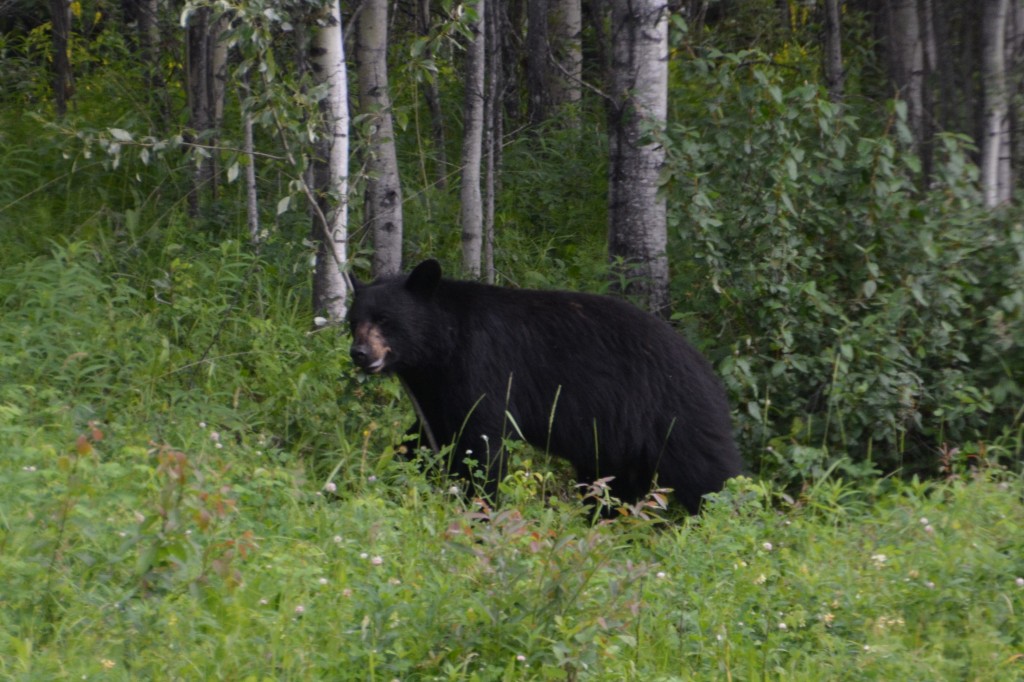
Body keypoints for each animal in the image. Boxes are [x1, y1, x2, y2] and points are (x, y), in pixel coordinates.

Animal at [348, 259, 741, 509]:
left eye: (385, 319)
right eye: (353, 320)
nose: (360, 353)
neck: (443, 345)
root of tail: (709, 372)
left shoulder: (482, 366)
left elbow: (482, 443)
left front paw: (480, 507)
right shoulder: (437, 389)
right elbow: (425, 438)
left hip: (675, 416)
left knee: (710, 476)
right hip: (618, 442)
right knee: (612, 485)